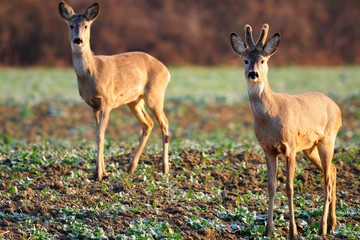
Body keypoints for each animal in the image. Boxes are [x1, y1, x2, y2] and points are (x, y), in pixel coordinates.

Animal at [59, 1, 172, 181]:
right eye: (71, 25)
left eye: (86, 25)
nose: (78, 40)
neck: (92, 71)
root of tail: (167, 71)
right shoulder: (93, 105)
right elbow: (98, 134)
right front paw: (102, 171)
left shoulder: (107, 101)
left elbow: (101, 134)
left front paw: (99, 173)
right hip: (134, 101)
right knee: (148, 123)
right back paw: (131, 167)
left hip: (155, 94)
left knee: (165, 123)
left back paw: (165, 168)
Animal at [229, 23, 342, 238]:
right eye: (246, 60)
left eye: (263, 60)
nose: (253, 74)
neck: (272, 114)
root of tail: (337, 107)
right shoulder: (268, 149)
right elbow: (271, 187)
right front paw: (268, 230)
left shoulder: (290, 146)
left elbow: (289, 187)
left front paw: (293, 232)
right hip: (309, 148)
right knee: (333, 170)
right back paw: (333, 224)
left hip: (327, 139)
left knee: (326, 178)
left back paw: (322, 227)